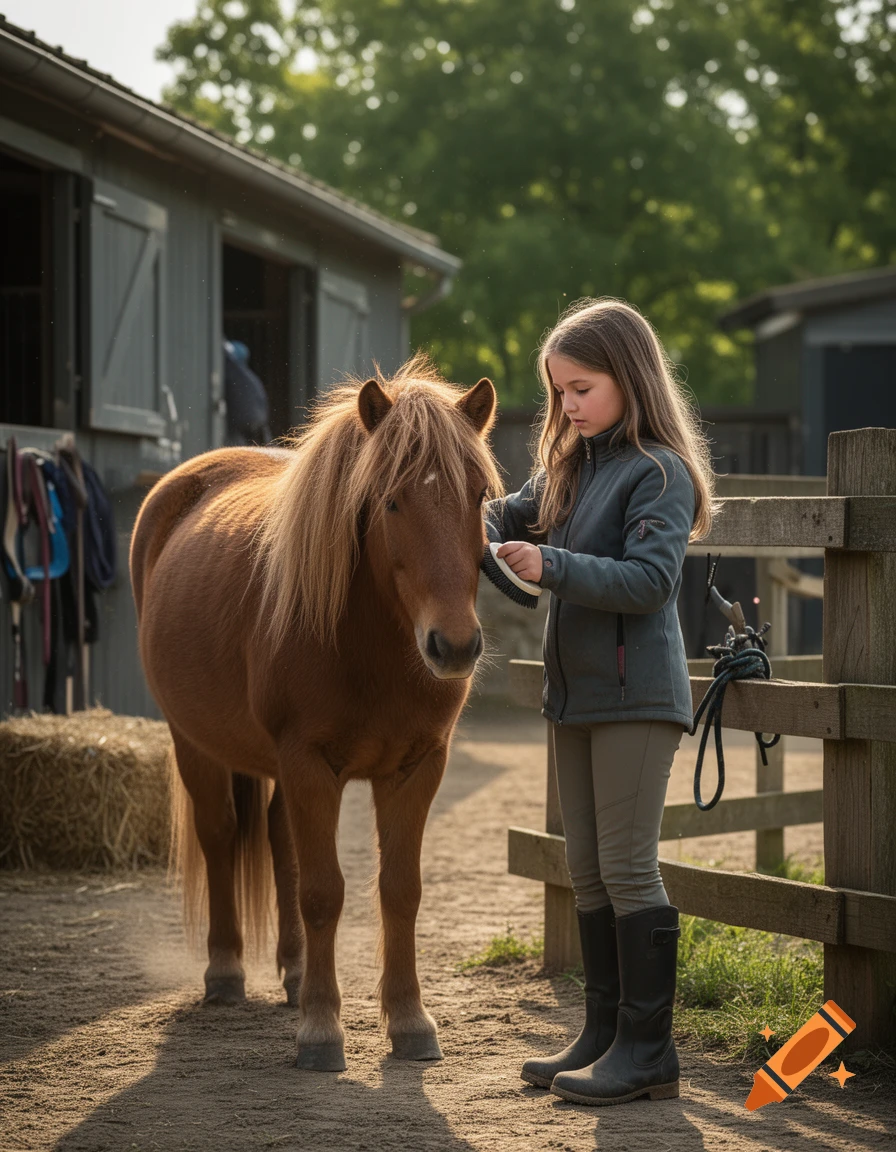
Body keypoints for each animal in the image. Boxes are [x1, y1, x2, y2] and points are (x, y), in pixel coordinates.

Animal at [129, 355, 502, 1072]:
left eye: (477, 497)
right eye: (391, 500)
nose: (454, 645)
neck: (372, 644)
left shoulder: (417, 768)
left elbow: (399, 890)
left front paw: (410, 1021)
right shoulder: (307, 763)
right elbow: (324, 891)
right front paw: (322, 1031)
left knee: (280, 845)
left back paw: (296, 973)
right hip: (195, 743)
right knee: (221, 835)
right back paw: (226, 973)